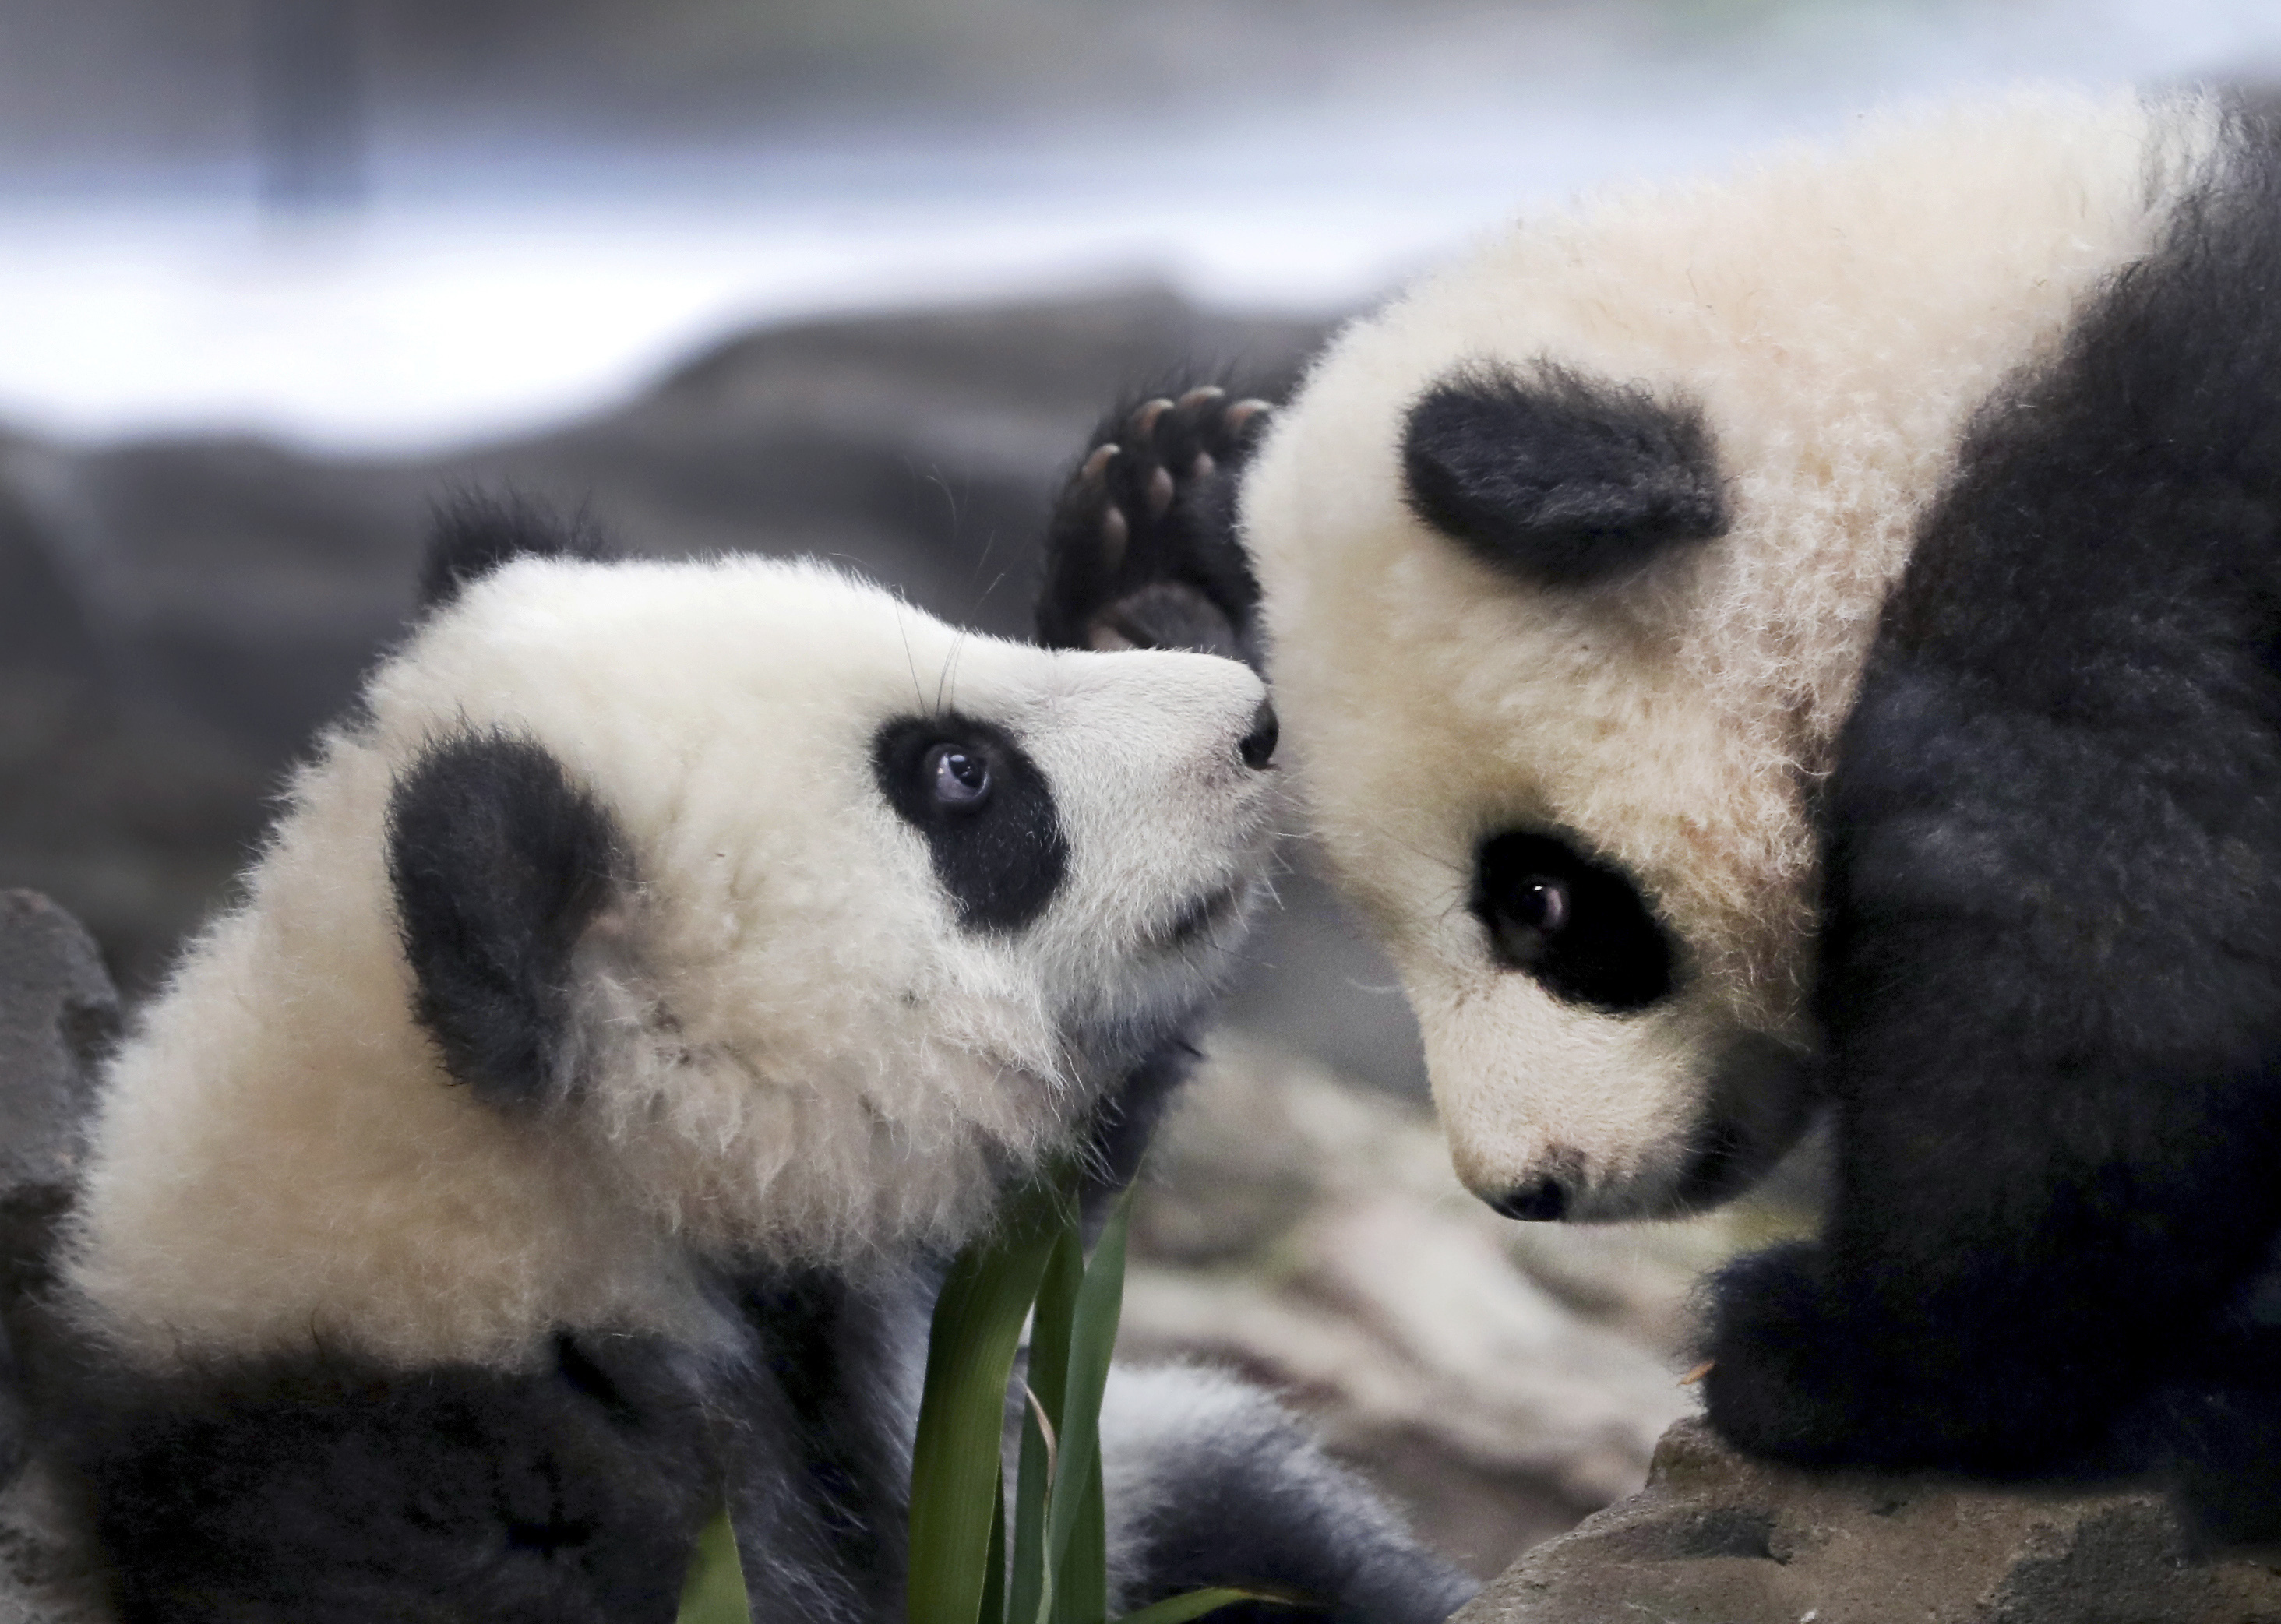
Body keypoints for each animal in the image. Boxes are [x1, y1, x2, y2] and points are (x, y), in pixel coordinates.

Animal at [1037, 88, 2281, 1534]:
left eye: (1540, 900)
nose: (1522, 1185)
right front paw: (1151, 561)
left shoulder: (2121, 560)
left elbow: (2107, 977)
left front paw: (1823, 1357)